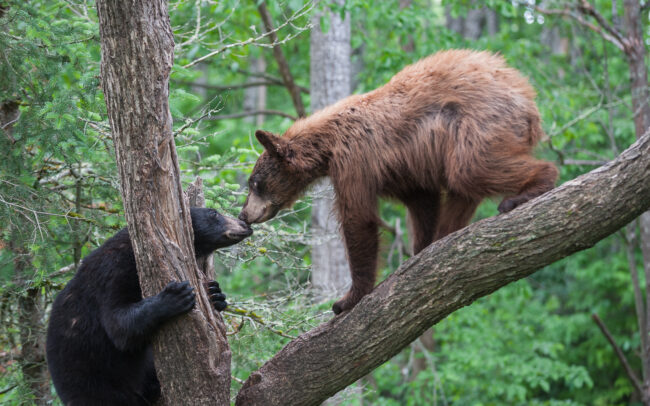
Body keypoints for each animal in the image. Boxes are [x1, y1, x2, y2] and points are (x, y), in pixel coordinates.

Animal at [46, 207, 252, 405]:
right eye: (213, 213)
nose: (245, 224)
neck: (134, 252)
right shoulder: (111, 273)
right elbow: (118, 325)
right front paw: (174, 297)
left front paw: (216, 294)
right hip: (95, 383)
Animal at [238, 50, 558, 314]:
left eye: (254, 183)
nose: (243, 214)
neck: (326, 146)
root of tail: (529, 102)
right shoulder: (400, 169)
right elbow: (421, 200)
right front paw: (422, 247)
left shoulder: (356, 159)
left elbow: (359, 218)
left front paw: (347, 299)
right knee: (463, 188)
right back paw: (447, 233)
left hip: (478, 124)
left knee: (472, 169)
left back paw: (528, 189)